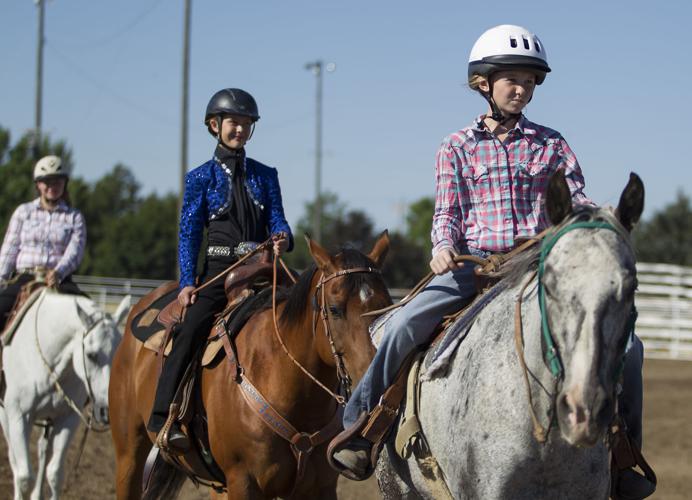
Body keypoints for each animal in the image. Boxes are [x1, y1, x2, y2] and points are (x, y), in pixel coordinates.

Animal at [0, 290, 129, 500]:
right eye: (91, 355)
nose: (107, 411)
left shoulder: (67, 419)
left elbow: (55, 474)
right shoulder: (20, 416)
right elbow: (24, 476)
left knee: (43, 451)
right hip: (6, 415)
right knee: (13, 457)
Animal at [107, 232, 390, 498]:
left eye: (386, 306)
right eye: (334, 309)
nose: (375, 378)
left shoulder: (321, 488)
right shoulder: (244, 482)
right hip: (129, 454)